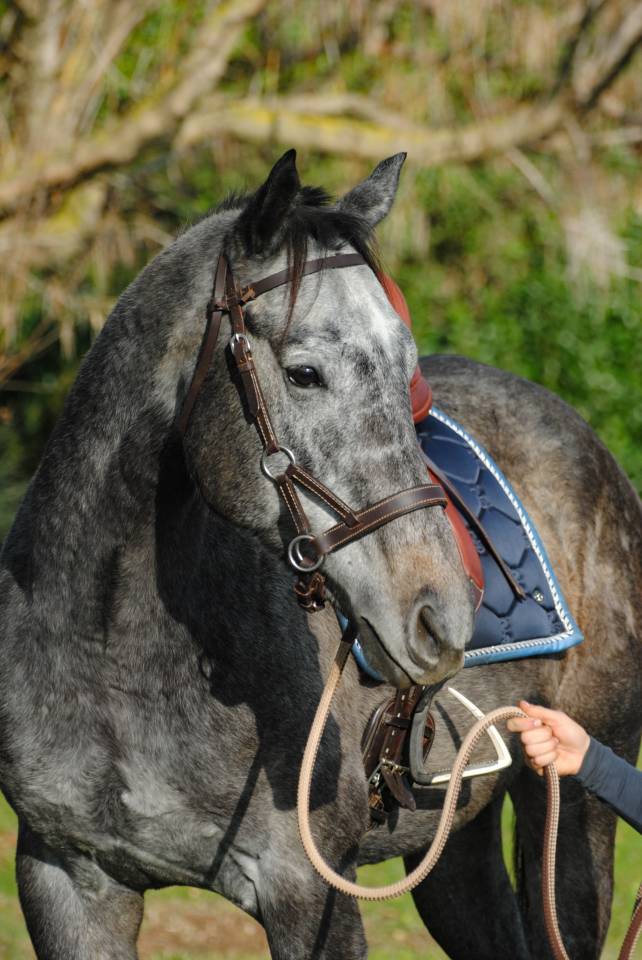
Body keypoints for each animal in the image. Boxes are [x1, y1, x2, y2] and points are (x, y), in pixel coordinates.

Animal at [0, 150, 640, 960]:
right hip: (452, 846)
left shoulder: (310, 890)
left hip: (574, 812)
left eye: (405, 371)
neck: (112, 653)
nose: (443, 617)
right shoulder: (67, 878)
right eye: (304, 372)